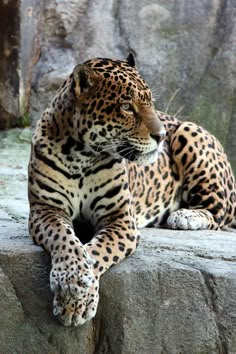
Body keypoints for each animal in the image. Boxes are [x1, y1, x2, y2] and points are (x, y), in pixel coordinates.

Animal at [28, 52, 236, 326]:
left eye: (150, 103)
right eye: (126, 106)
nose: (161, 136)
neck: (80, 155)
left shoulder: (120, 219)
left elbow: (97, 251)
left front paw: (79, 295)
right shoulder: (45, 210)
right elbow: (65, 239)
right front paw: (73, 282)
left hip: (191, 133)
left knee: (218, 215)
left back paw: (185, 216)